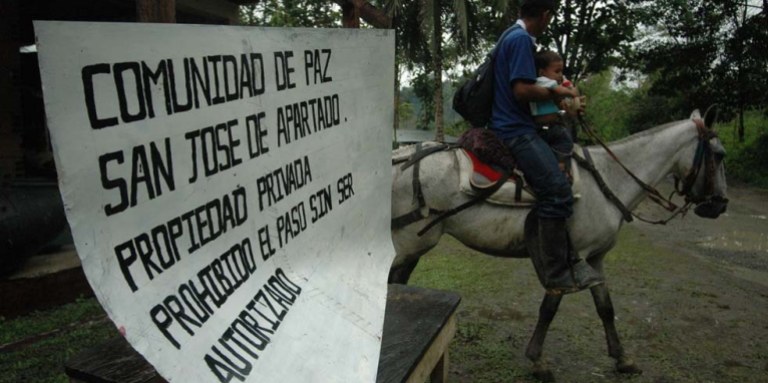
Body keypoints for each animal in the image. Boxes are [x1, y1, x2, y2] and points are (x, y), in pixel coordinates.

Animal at [390, 109, 728, 382]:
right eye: (720, 155)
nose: (720, 205)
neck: (607, 180)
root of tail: (400, 160)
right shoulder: (565, 260)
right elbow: (549, 309)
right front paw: (538, 362)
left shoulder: (595, 259)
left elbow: (606, 308)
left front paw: (622, 358)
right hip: (408, 243)